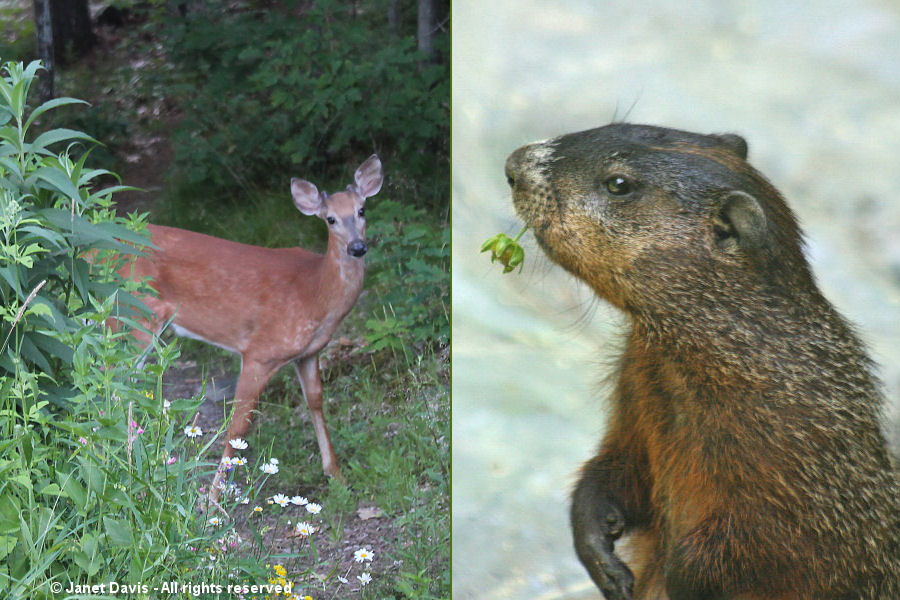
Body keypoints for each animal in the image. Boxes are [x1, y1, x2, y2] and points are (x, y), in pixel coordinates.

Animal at [124, 156, 384, 502]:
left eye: (362, 210)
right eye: (330, 219)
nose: (357, 247)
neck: (314, 293)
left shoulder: (309, 353)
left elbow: (316, 401)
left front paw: (337, 476)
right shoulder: (260, 351)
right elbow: (238, 425)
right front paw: (212, 500)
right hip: (135, 318)